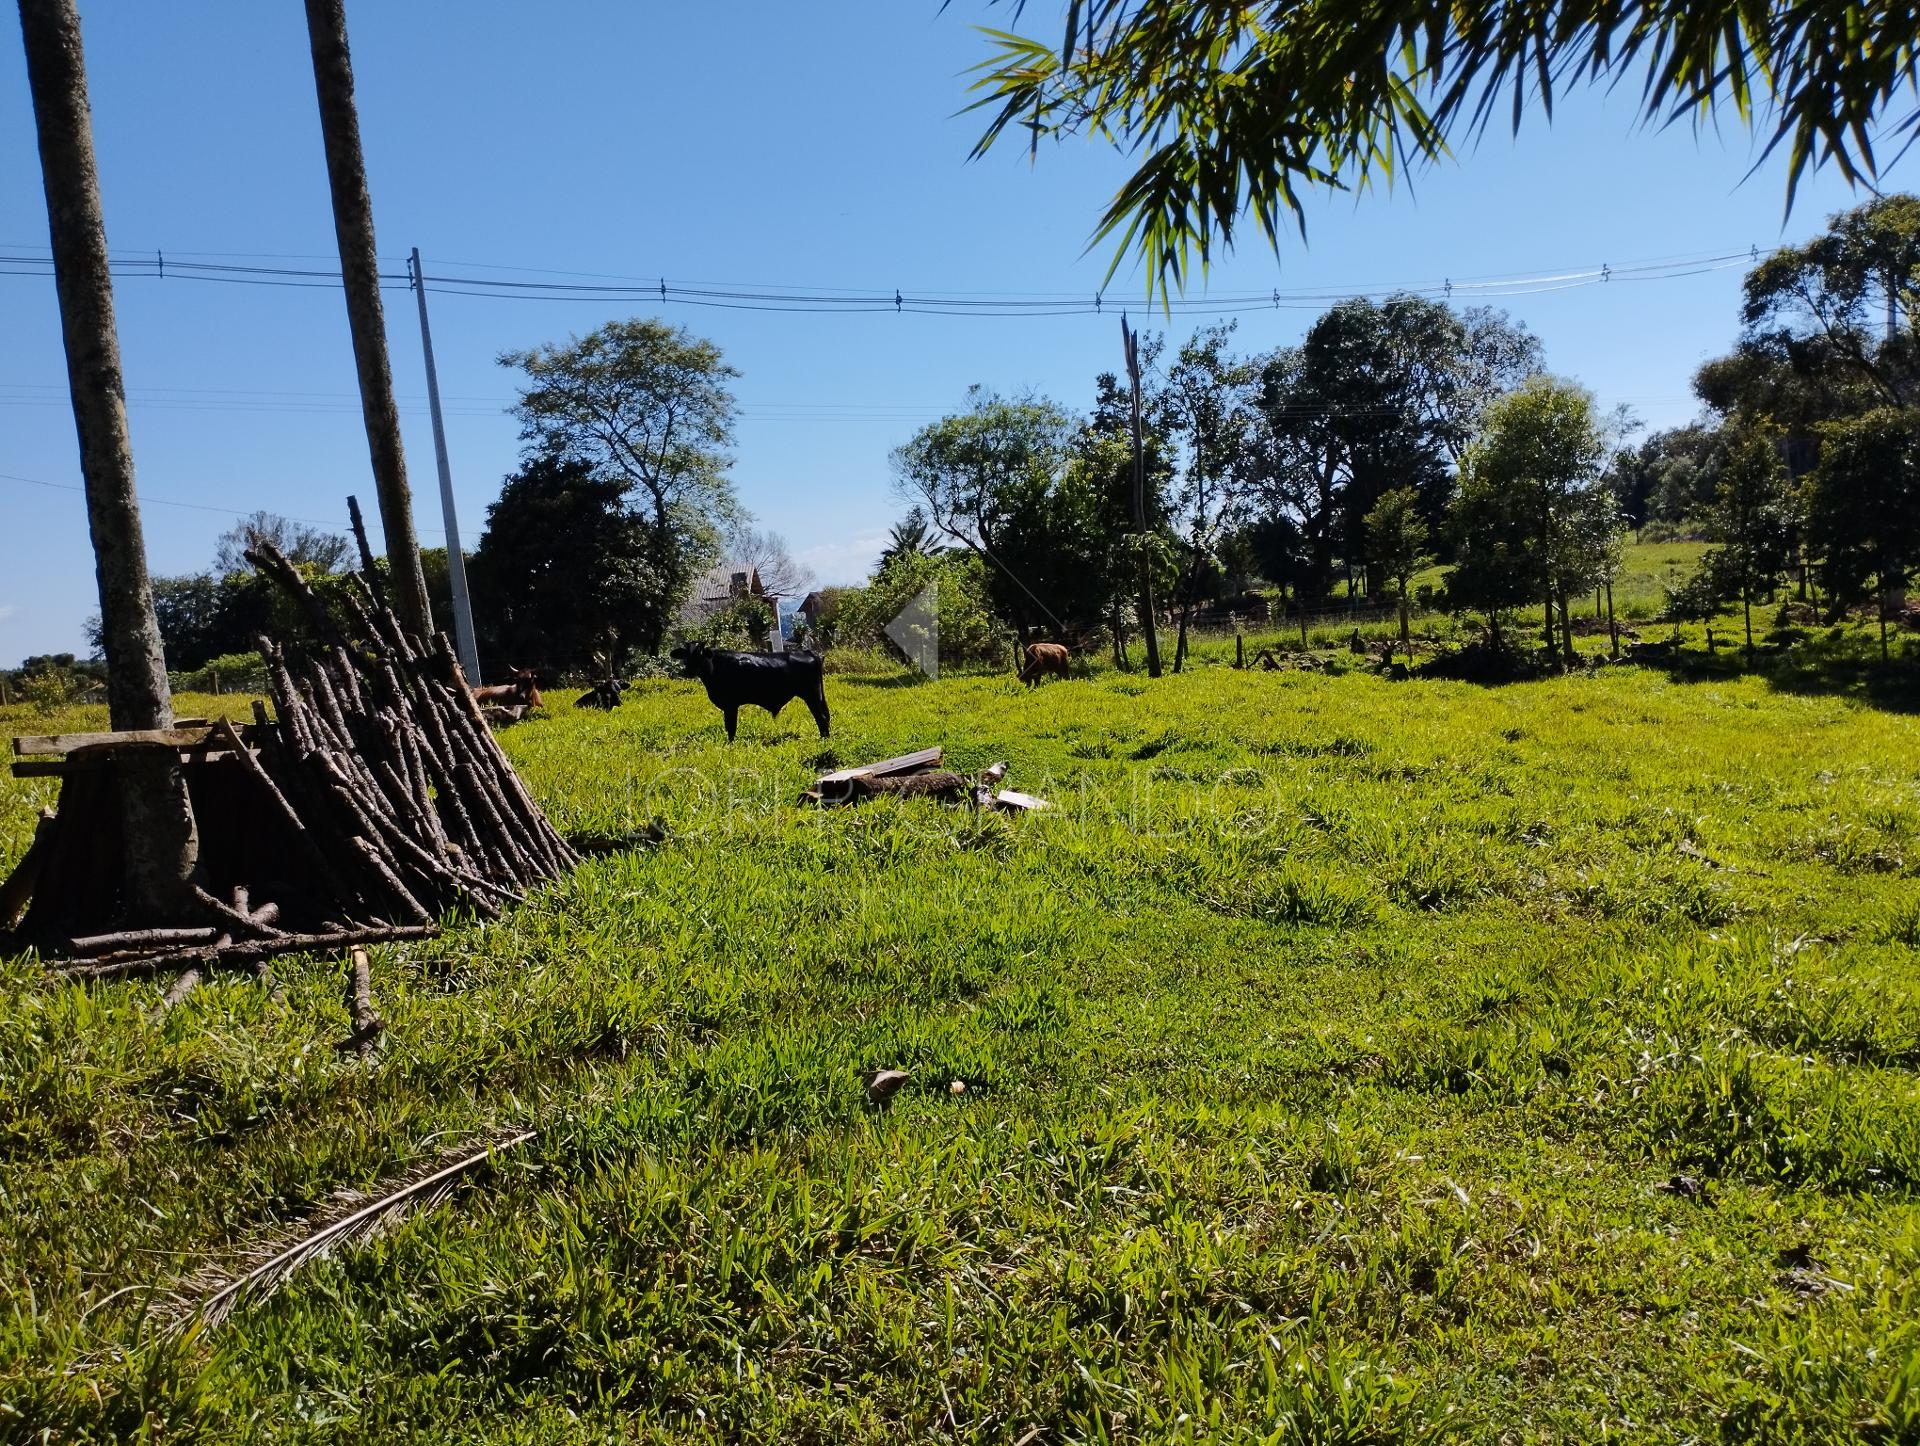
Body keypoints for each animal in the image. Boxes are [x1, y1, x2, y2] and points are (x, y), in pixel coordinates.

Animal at [672, 641, 829, 737]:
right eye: (686, 655)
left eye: (699, 654)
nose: (689, 670)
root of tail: (808, 652)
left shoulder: (730, 705)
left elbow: (731, 727)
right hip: (818, 696)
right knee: (826, 716)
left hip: (811, 695)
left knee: (821, 718)